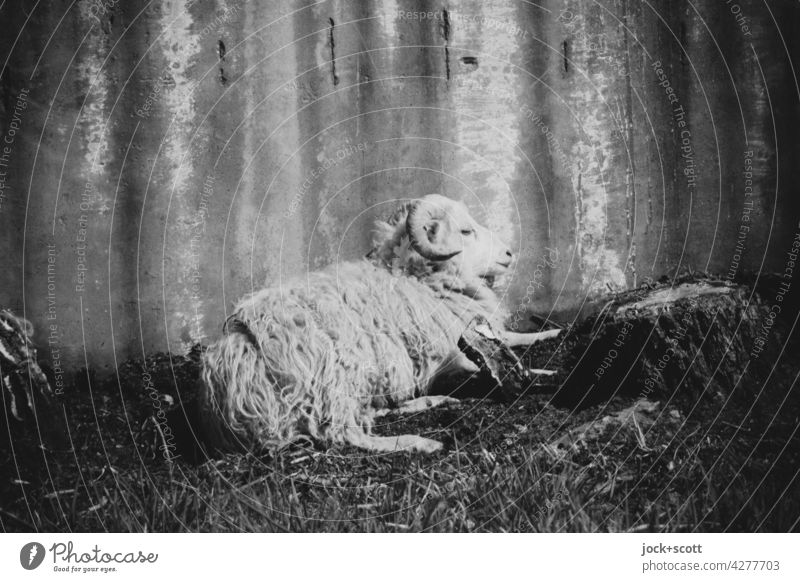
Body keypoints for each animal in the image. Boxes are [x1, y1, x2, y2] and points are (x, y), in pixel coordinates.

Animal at [200, 196, 560, 456]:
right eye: (465, 231)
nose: (509, 253)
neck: (419, 278)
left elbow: (515, 337)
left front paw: (551, 333)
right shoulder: (446, 354)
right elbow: (490, 364)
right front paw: (540, 373)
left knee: (370, 414)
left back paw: (427, 403)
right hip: (333, 378)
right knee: (344, 434)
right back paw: (420, 442)